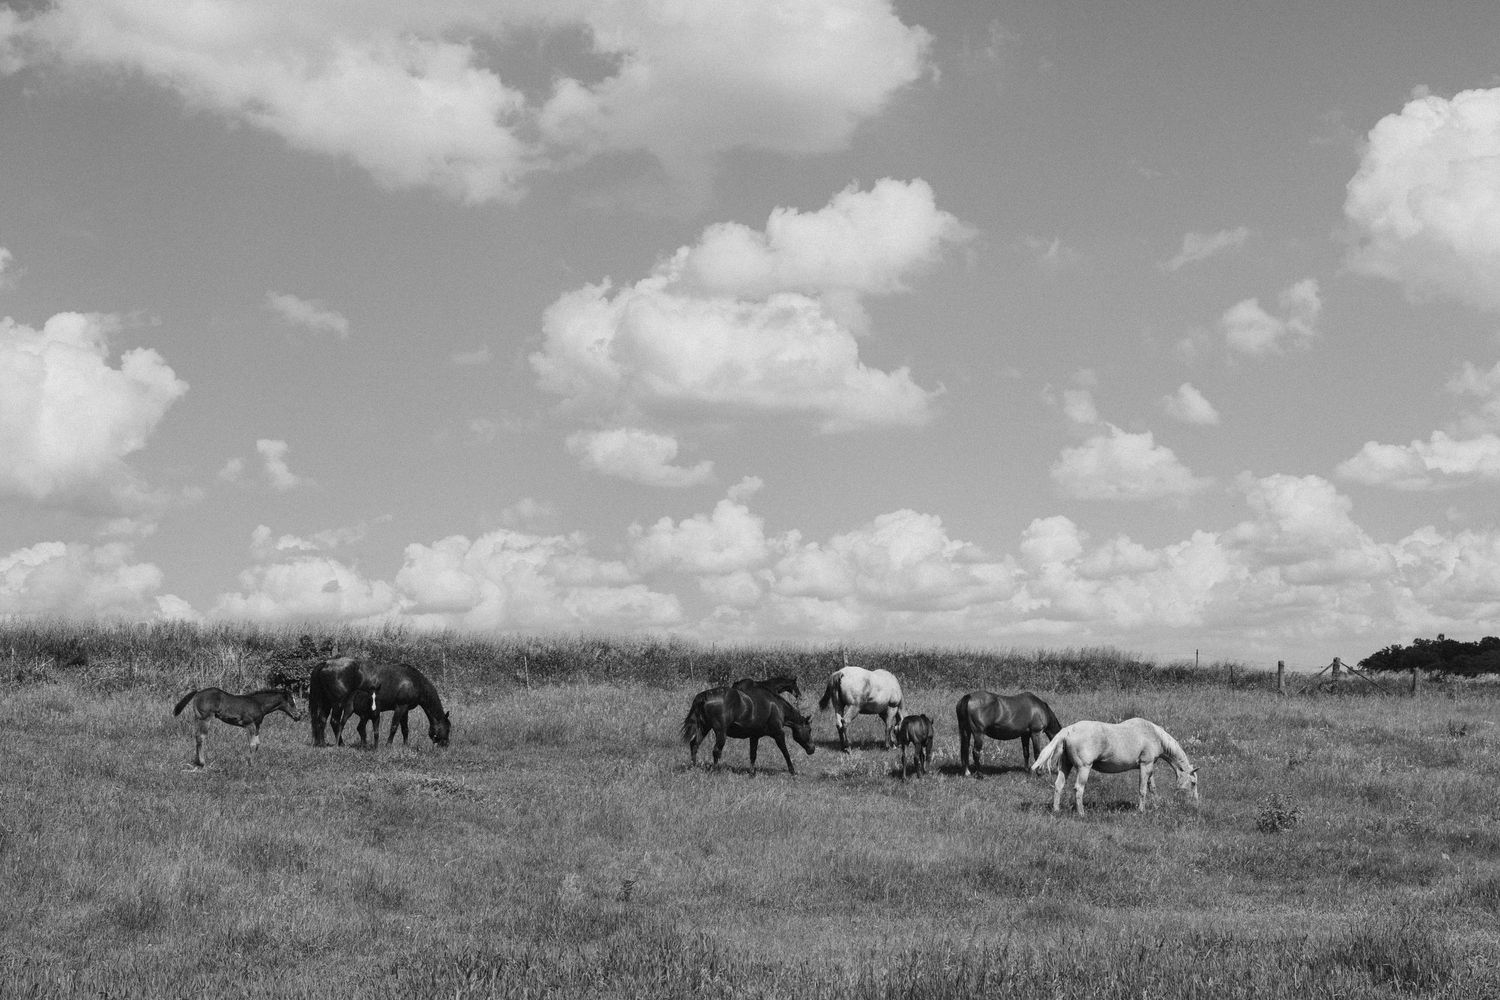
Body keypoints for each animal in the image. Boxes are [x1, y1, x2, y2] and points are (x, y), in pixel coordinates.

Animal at [171, 687, 302, 769]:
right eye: (292, 702)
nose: (298, 716)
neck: (259, 704)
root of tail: (198, 692)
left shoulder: (257, 725)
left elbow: (257, 743)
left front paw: (252, 763)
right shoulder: (249, 724)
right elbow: (252, 744)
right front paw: (249, 764)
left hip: (197, 717)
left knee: (196, 736)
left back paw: (197, 761)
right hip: (205, 718)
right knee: (201, 737)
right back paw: (203, 763)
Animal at [681, 684, 814, 775]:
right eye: (809, 730)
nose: (812, 749)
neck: (776, 706)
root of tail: (705, 696)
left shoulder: (754, 736)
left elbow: (753, 754)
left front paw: (752, 772)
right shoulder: (778, 734)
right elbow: (785, 752)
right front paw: (792, 771)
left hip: (704, 727)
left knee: (694, 745)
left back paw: (694, 766)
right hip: (720, 732)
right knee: (716, 750)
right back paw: (716, 770)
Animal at [1031, 718, 1199, 815]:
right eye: (1193, 783)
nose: (1195, 803)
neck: (1154, 735)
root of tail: (1068, 730)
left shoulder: (1149, 767)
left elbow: (1152, 788)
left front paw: (1156, 806)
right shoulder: (1145, 765)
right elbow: (1143, 790)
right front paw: (1141, 811)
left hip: (1066, 766)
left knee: (1058, 785)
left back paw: (1056, 810)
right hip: (1084, 768)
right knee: (1079, 789)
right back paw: (1082, 813)